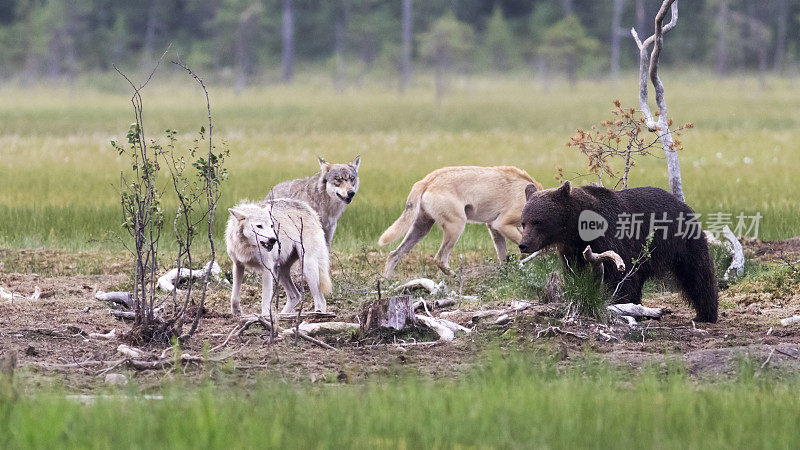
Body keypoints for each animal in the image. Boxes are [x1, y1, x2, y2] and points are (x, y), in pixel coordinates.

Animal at [376, 165, 540, 278]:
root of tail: (427, 180)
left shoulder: (494, 228)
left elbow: (503, 257)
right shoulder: (502, 224)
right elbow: (532, 249)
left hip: (421, 228)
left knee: (394, 254)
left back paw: (386, 284)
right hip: (456, 227)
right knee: (439, 259)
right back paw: (454, 276)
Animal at [520, 181, 720, 322]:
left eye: (538, 221)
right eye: (524, 222)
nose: (523, 244)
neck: (576, 228)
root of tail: (681, 202)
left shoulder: (610, 237)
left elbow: (618, 274)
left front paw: (618, 306)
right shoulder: (572, 249)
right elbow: (575, 272)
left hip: (680, 241)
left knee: (697, 272)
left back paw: (706, 314)